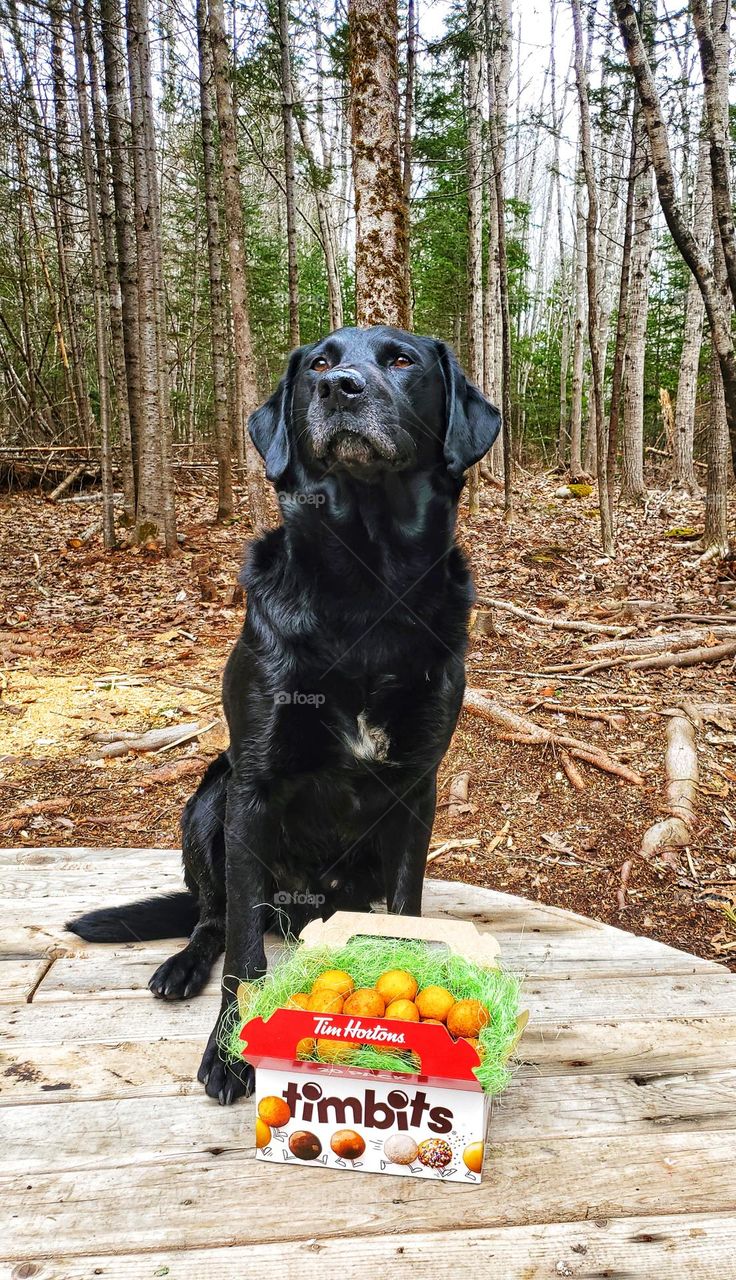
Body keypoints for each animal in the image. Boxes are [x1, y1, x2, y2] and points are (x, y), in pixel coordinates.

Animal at [67, 325, 501, 1105]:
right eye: (320, 362)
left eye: (401, 360)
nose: (340, 389)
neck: (366, 584)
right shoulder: (254, 787)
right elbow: (244, 950)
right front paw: (232, 1053)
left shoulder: (415, 790)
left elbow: (406, 914)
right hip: (209, 798)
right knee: (213, 917)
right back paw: (183, 963)